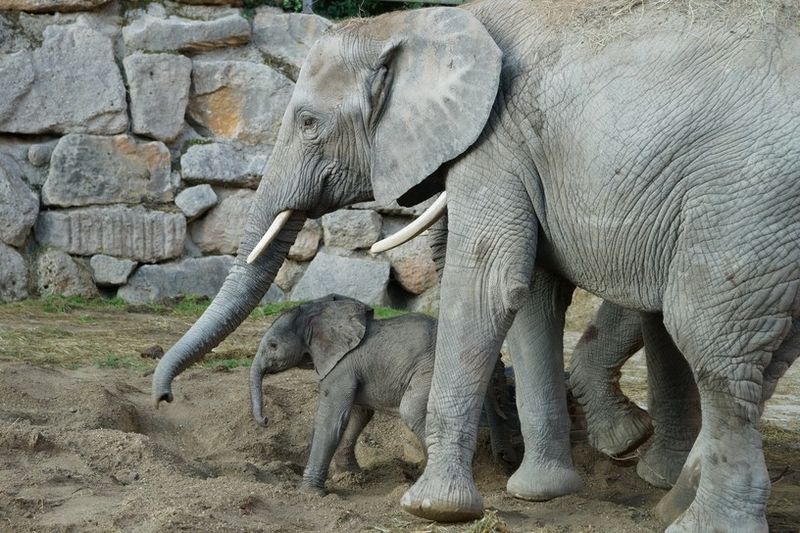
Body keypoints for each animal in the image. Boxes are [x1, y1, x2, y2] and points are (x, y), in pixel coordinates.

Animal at [249, 294, 520, 492]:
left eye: (273, 345)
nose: (265, 420)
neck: (317, 313)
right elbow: (358, 415)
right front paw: (351, 475)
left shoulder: (341, 369)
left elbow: (332, 419)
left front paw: (310, 492)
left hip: (431, 368)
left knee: (411, 410)